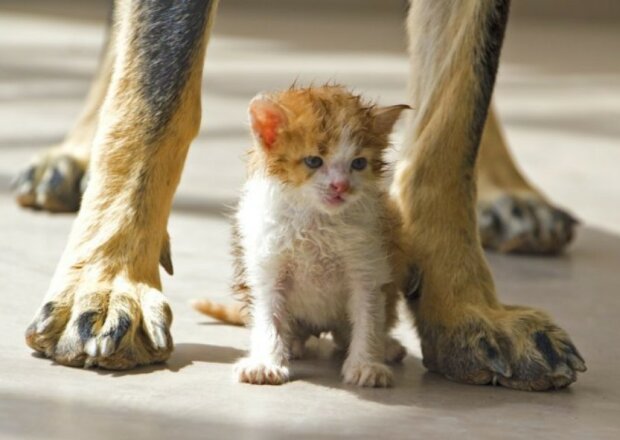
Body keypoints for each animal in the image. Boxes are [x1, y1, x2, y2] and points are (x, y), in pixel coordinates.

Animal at [201, 85, 410, 384]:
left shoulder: (368, 264)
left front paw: (366, 364)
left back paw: (385, 346)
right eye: (313, 161)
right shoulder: (267, 264)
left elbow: (368, 315)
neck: (316, 220)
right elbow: (268, 314)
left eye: (358, 163)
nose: (340, 186)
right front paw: (265, 362)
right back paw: (292, 344)